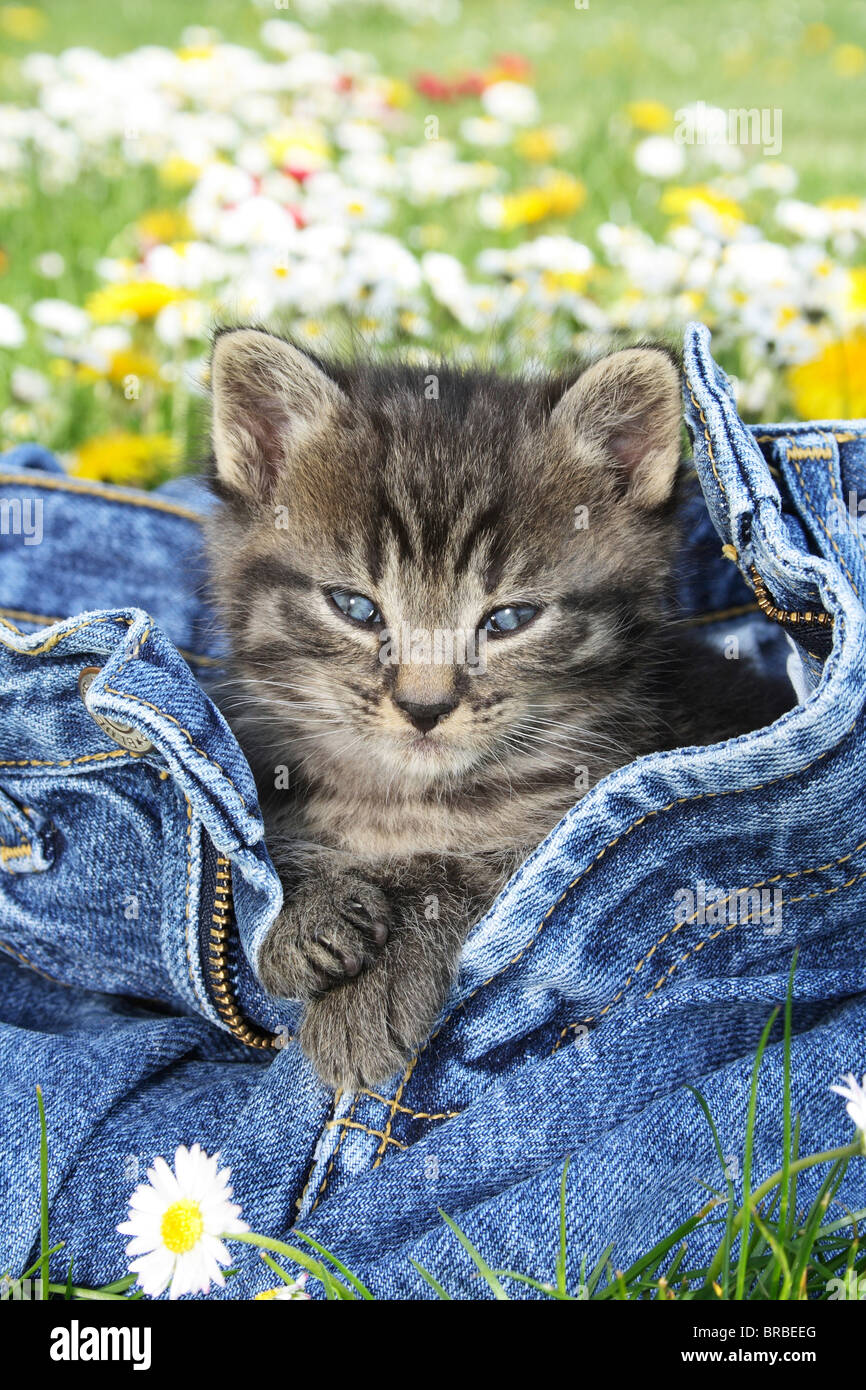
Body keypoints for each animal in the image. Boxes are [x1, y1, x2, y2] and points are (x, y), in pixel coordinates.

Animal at [207, 330, 789, 1089]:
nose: (424, 707)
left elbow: (479, 871)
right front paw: (307, 906)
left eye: (509, 619)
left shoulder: (584, 821)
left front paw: (371, 988)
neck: (407, 800)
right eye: (356, 608)